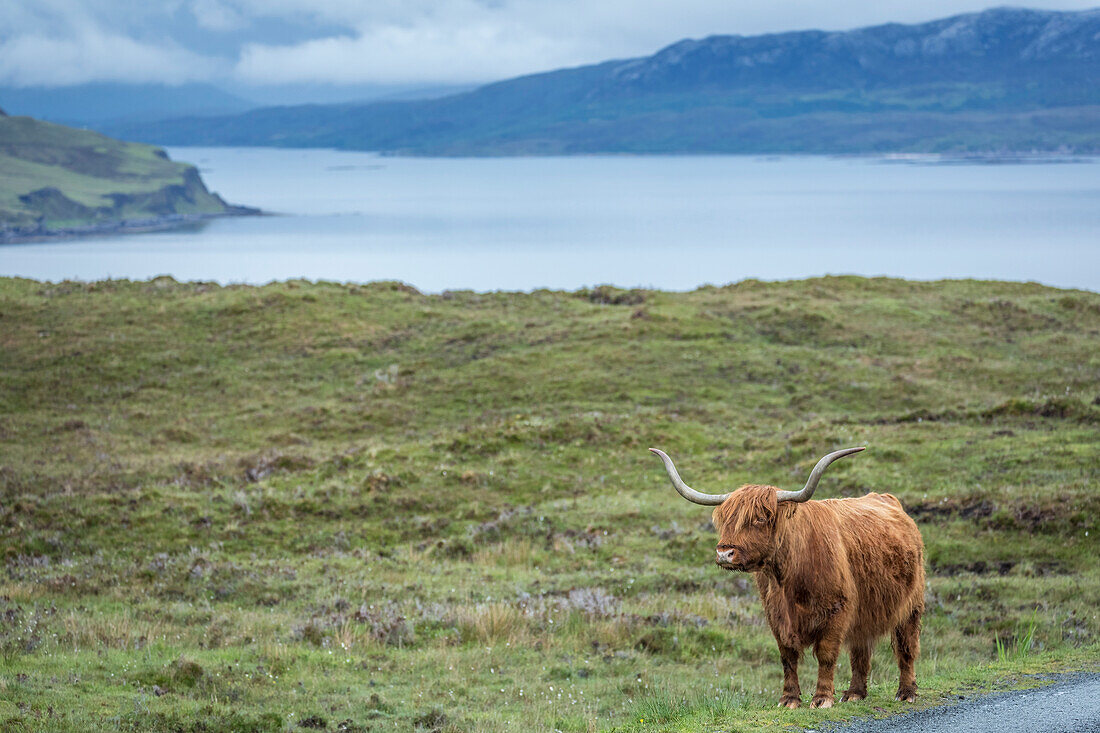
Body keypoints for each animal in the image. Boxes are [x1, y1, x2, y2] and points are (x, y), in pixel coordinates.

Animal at [646, 444, 924, 708]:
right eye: (725, 520)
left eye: (759, 518)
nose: (724, 553)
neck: (789, 578)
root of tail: (889, 500)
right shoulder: (776, 615)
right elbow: (787, 656)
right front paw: (789, 699)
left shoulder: (837, 610)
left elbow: (826, 654)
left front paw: (822, 698)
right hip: (865, 612)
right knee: (861, 650)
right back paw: (855, 694)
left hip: (912, 605)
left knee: (906, 647)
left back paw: (906, 693)